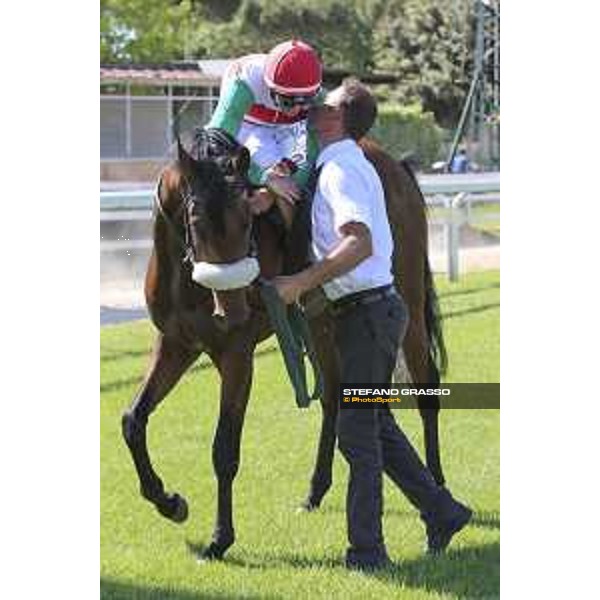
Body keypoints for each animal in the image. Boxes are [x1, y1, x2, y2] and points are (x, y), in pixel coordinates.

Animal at [120, 127, 446, 564]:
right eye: (196, 220)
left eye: (248, 219)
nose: (233, 309)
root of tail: (395, 163)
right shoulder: (175, 345)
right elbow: (133, 420)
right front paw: (169, 502)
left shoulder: (237, 356)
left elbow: (224, 449)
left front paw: (219, 539)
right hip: (322, 325)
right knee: (335, 397)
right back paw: (315, 491)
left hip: (406, 300)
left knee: (427, 389)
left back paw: (438, 487)